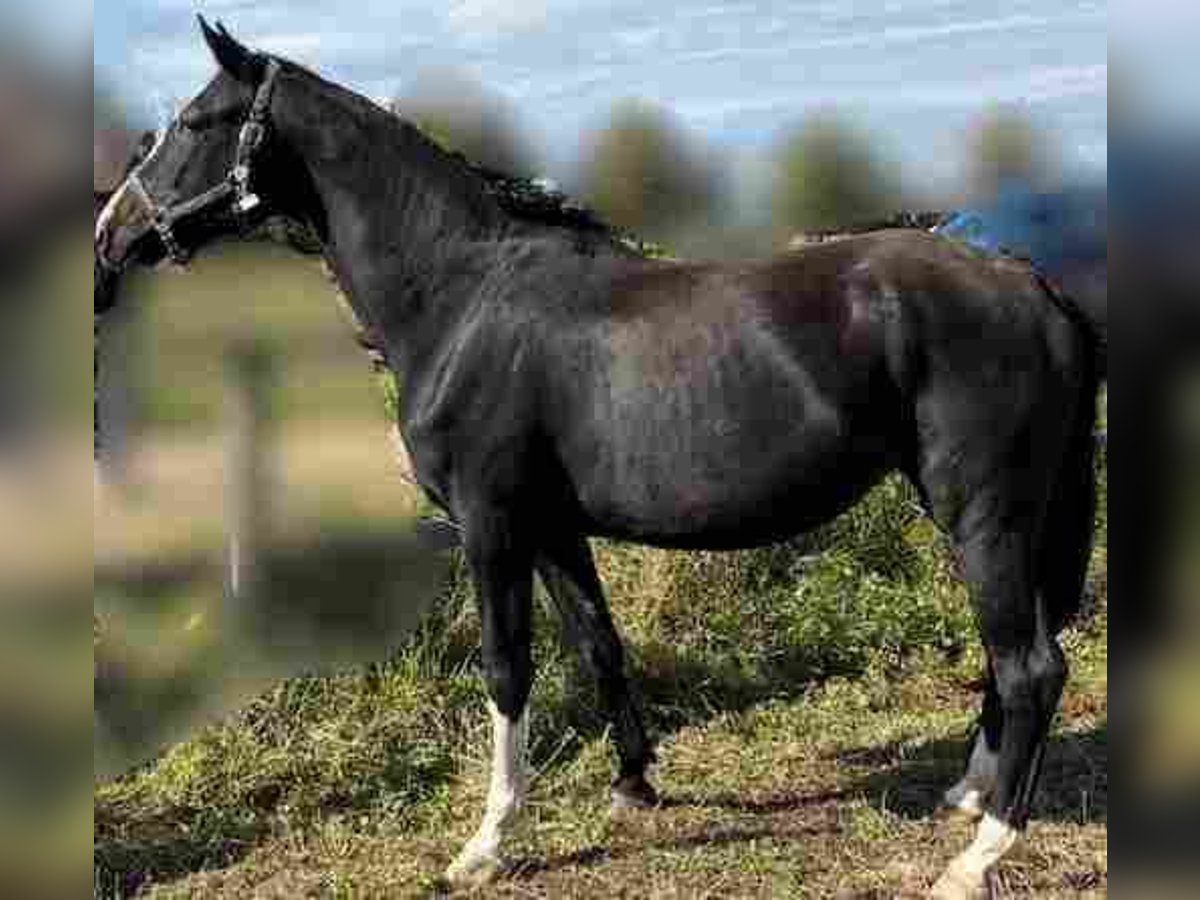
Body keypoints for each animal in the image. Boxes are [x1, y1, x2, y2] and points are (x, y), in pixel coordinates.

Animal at [95, 19, 1102, 897]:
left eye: (195, 122)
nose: (110, 236)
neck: (461, 298)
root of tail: (1028, 281)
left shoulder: (493, 526)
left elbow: (508, 672)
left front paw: (485, 845)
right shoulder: (552, 528)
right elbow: (598, 642)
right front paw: (635, 784)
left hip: (984, 516)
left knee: (1030, 666)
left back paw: (977, 855)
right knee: (1013, 659)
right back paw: (964, 794)